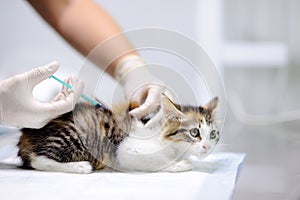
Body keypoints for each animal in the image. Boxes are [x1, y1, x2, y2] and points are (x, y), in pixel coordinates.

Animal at [17, 94, 219, 173]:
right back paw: (79, 166)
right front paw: (179, 164)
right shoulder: (125, 151)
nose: (207, 147)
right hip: (77, 132)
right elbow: (154, 161)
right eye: (194, 132)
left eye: (213, 134)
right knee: (37, 159)